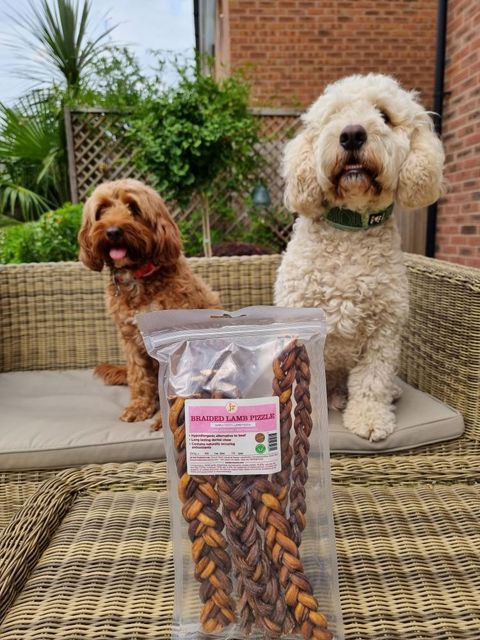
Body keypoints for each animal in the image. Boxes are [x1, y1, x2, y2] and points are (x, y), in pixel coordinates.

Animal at [78, 179, 220, 427]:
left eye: (133, 207)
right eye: (102, 209)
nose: (113, 231)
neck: (137, 277)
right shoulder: (130, 340)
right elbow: (138, 375)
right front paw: (139, 407)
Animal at [275, 74, 445, 441]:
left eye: (384, 115)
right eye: (334, 115)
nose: (352, 134)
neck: (349, 230)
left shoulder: (384, 331)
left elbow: (372, 380)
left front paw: (369, 418)